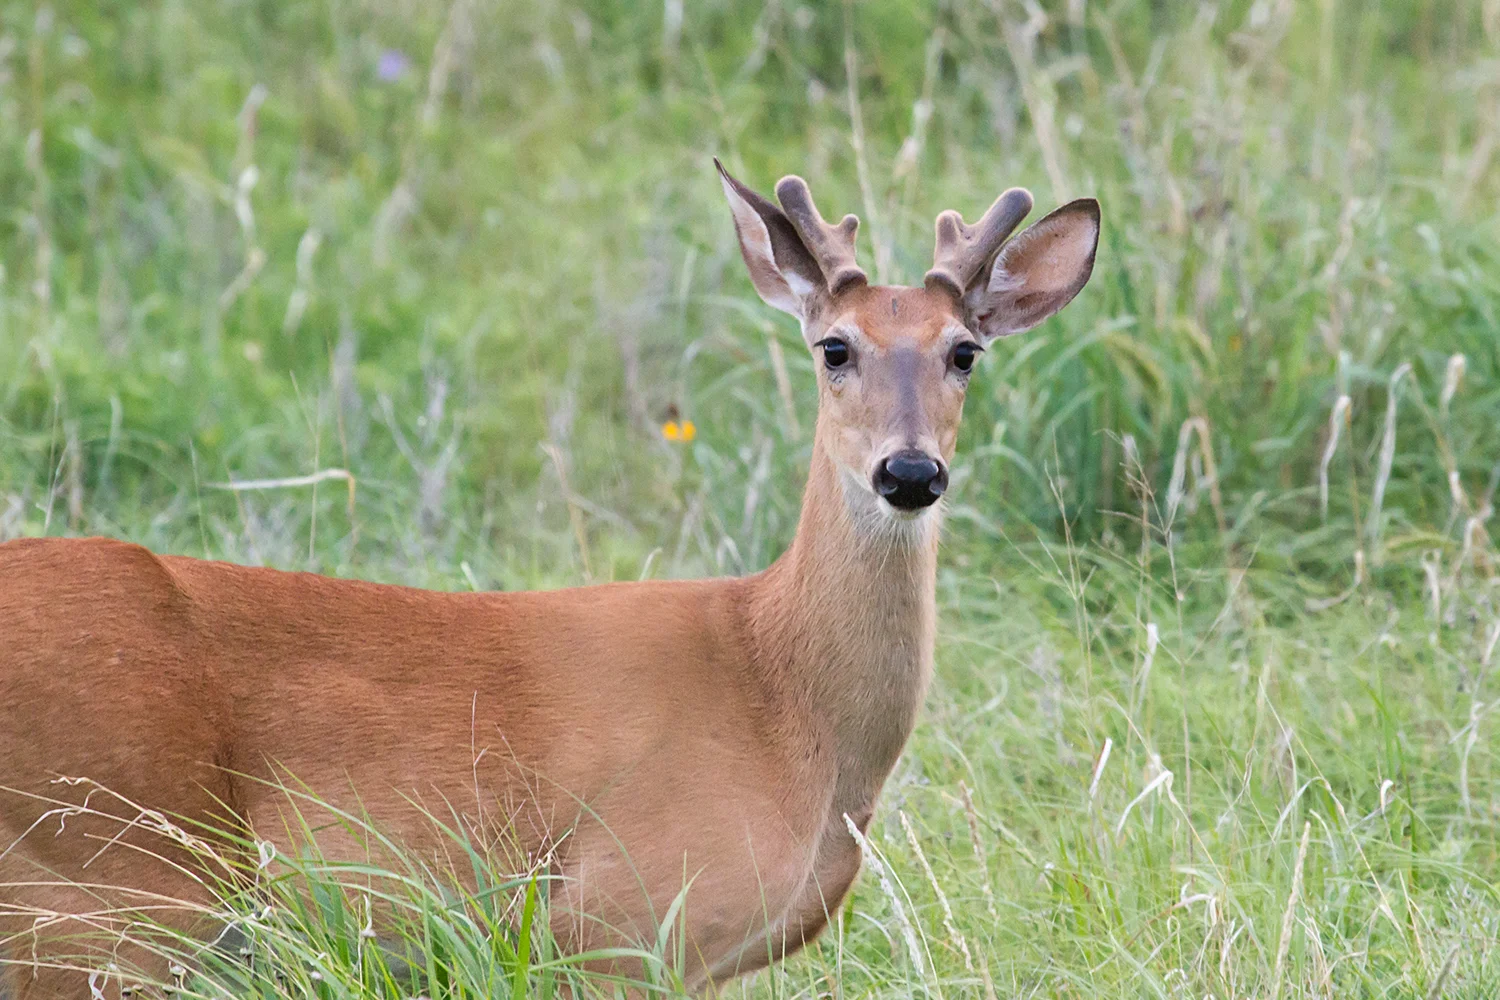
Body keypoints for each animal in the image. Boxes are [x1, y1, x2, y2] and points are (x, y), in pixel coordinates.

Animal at [0, 160, 1098, 999]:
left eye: (965, 352)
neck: (788, 699)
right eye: (836, 346)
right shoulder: (618, 918)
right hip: (103, 887)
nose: (909, 472)